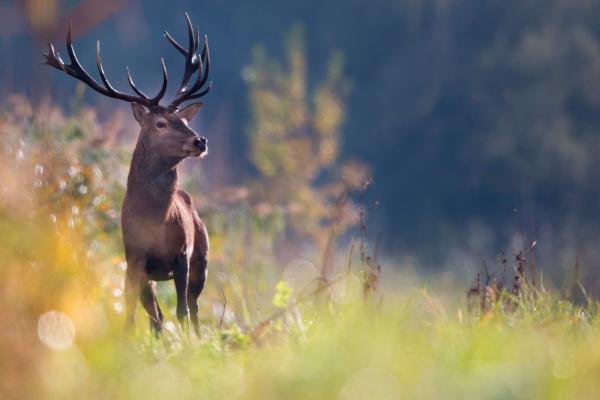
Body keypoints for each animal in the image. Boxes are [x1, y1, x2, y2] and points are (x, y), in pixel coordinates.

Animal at [42, 14, 211, 336]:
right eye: (160, 123)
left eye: (184, 120)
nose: (200, 141)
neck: (154, 222)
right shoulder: (134, 258)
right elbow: (131, 315)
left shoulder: (182, 253)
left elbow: (182, 310)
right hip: (149, 276)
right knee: (156, 315)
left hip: (202, 257)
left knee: (193, 308)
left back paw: (199, 337)